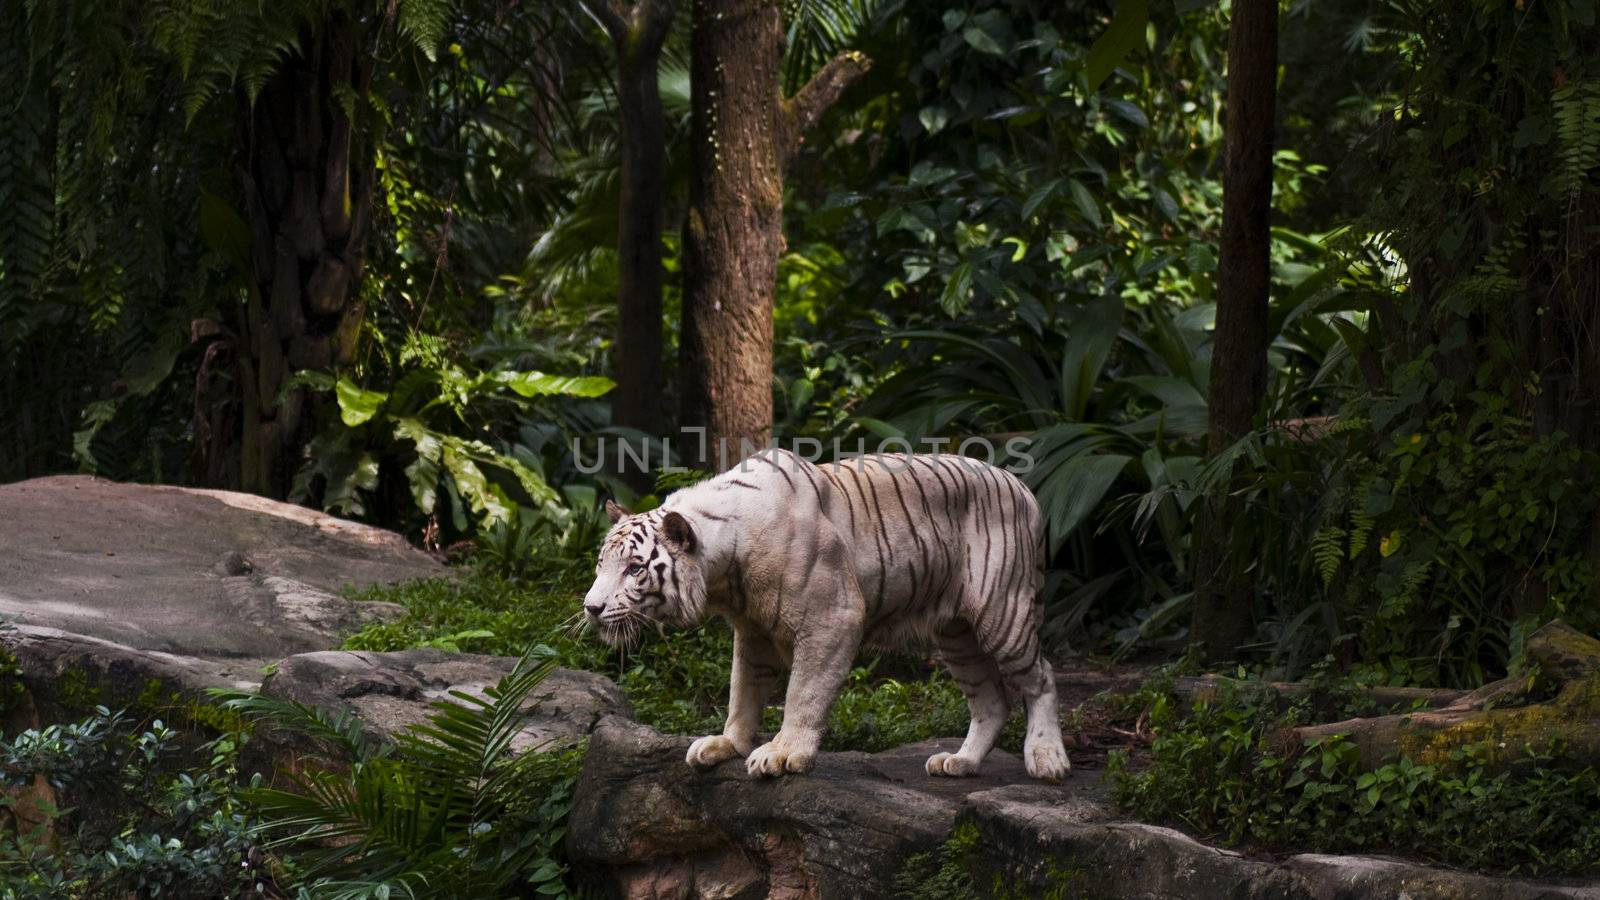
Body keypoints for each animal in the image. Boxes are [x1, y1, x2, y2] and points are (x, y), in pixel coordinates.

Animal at [582, 448, 1068, 778]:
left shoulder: (832, 619)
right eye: (601, 565)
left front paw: (781, 753)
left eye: (634, 568)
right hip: (956, 634)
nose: (591, 607)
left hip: (1002, 609)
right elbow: (743, 692)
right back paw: (960, 761)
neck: (723, 576)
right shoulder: (753, 632)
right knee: (991, 699)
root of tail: (1023, 485)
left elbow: (803, 693)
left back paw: (1047, 759)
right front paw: (727, 743)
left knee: (1042, 677)